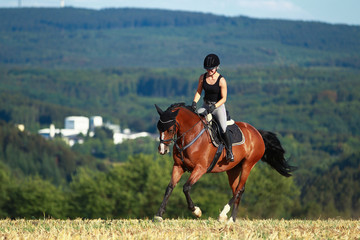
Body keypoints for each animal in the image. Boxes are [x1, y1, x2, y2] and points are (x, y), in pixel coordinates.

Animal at [153, 102, 294, 222]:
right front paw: (159, 215)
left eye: (170, 129)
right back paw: (232, 219)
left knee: (240, 189)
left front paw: (196, 211)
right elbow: (169, 188)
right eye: (158, 128)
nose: (162, 150)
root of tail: (257, 132)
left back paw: (223, 215)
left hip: (248, 164)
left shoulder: (200, 168)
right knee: (236, 190)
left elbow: (186, 187)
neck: (190, 135)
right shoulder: (178, 166)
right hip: (233, 169)